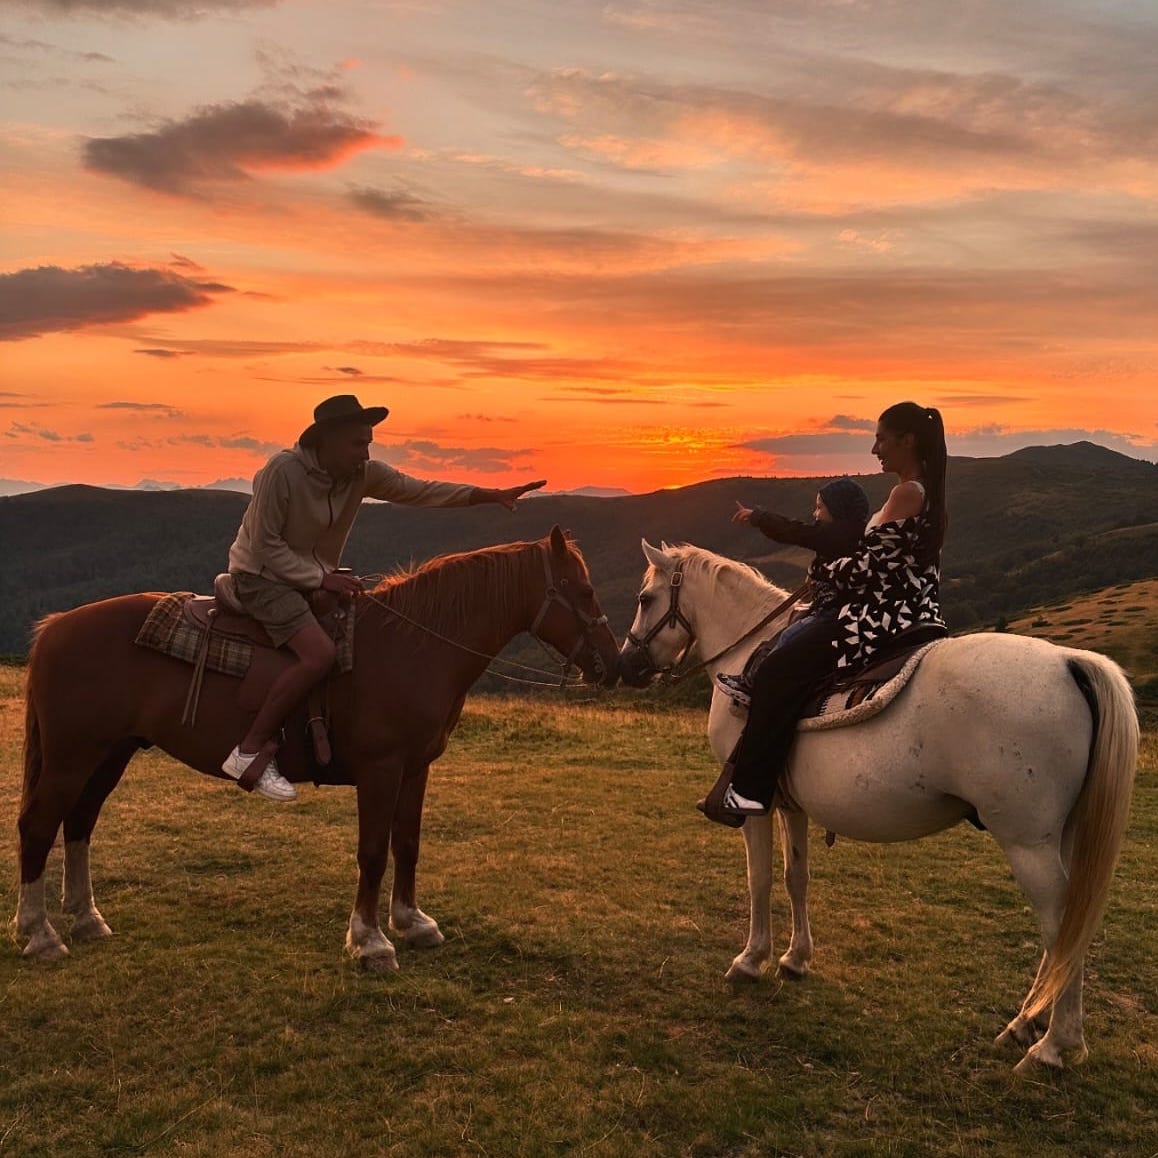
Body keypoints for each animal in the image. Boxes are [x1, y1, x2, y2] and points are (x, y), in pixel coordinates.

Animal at [13, 526, 620, 971]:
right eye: (585, 591)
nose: (613, 664)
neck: (412, 647)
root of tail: (55, 628)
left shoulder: (415, 769)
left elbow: (408, 844)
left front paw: (412, 921)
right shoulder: (380, 770)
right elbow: (373, 851)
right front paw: (370, 941)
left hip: (109, 753)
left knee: (80, 822)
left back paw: (86, 919)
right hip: (72, 755)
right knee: (39, 825)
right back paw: (39, 933)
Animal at [618, 540, 1137, 1073]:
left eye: (644, 598)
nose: (627, 665)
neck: (747, 654)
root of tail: (1069, 662)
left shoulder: (754, 804)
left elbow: (759, 878)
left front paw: (751, 959)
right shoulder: (791, 806)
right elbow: (796, 877)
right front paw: (795, 959)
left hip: (1027, 843)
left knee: (1061, 925)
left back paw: (1053, 1046)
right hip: (1061, 836)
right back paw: (1024, 1025)